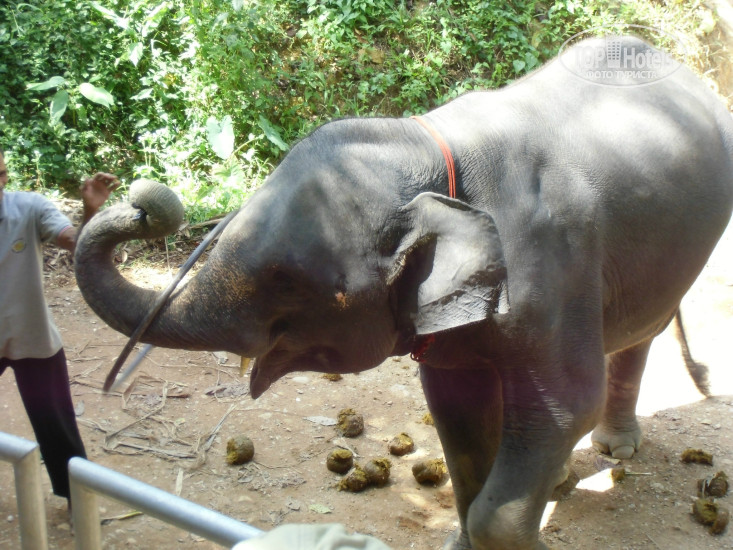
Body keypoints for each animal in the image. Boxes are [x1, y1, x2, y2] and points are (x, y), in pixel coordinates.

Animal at [75, 36, 733, 549]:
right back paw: (565, 478)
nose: (141, 204)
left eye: (286, 280)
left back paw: (614, 450)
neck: (431, 150)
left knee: (638, 336)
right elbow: (456, 410)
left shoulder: (553, 265)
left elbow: (567, 403)